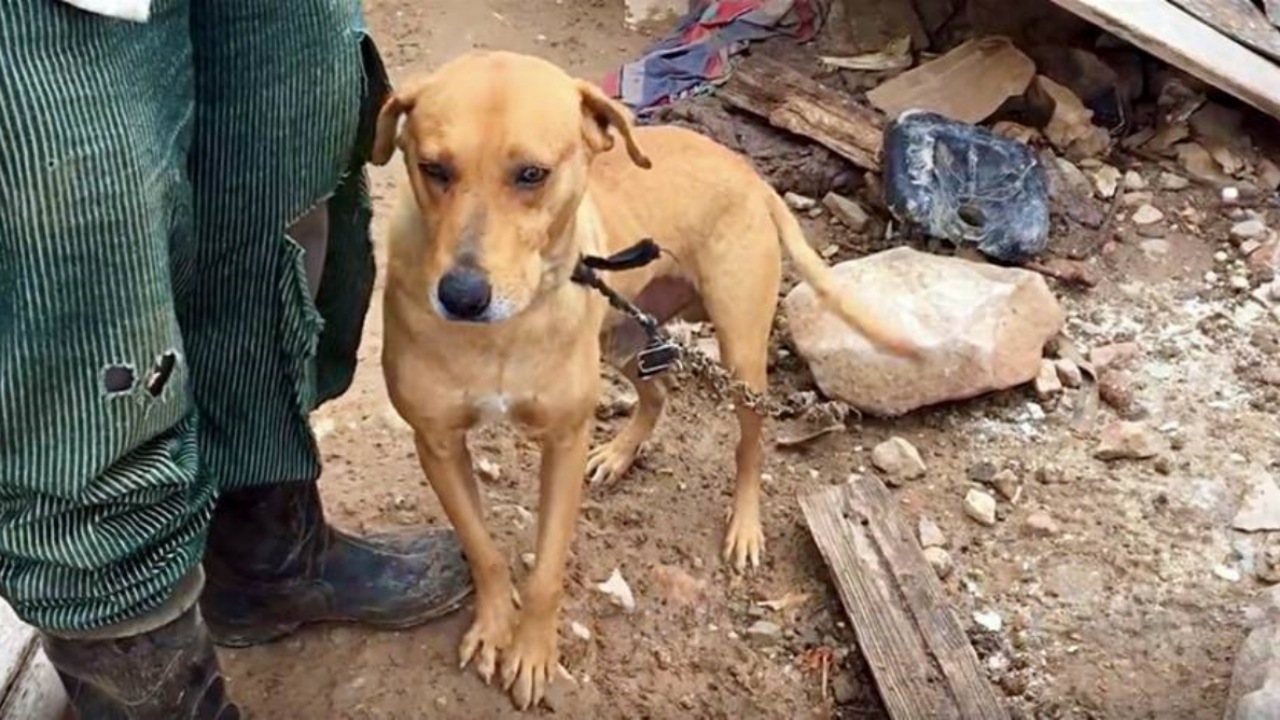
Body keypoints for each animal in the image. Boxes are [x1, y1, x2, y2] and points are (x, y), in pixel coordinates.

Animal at [371, 50, 911, 707]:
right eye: (433, 168)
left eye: (532, 174)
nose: (462, 296)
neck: (504, 330)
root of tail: (746, 170)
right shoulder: (438, 443)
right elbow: (482, 549)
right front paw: (496, 627)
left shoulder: (563, 441)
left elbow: (546, 570)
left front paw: (533, 653)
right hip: (623, 335)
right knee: (657, 391)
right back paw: (620, 454)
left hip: (740, 351)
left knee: (749, 443)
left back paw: (745, 527)